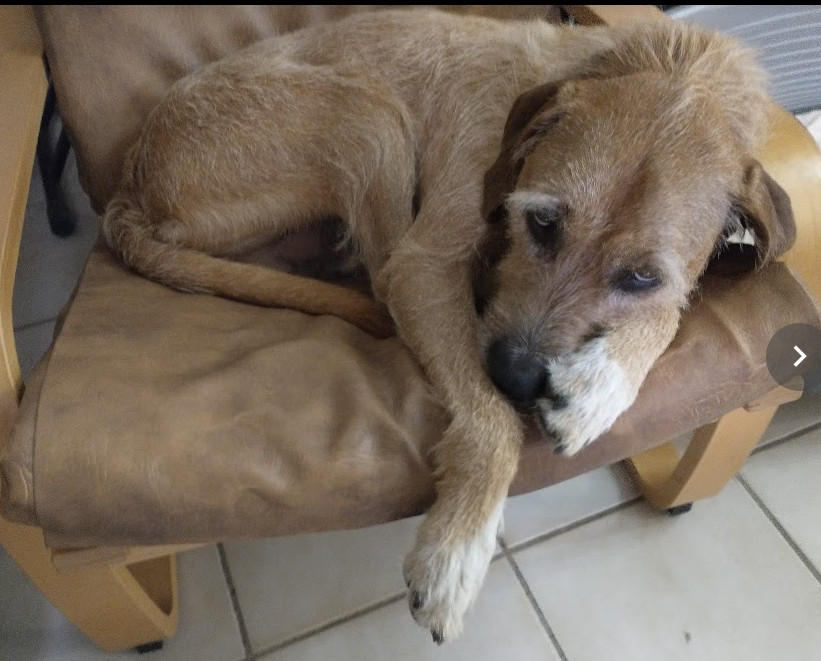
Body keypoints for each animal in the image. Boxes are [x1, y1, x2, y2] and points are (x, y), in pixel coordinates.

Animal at [97, 7, 796, 640]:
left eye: (641, 278)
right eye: (542, 221)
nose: (515, 376)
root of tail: (131, 185)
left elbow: (668, 314)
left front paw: (601, 385)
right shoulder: (424, 266)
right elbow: (492, 422)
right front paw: (458, 548)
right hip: (369, 116)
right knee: (379, 276)